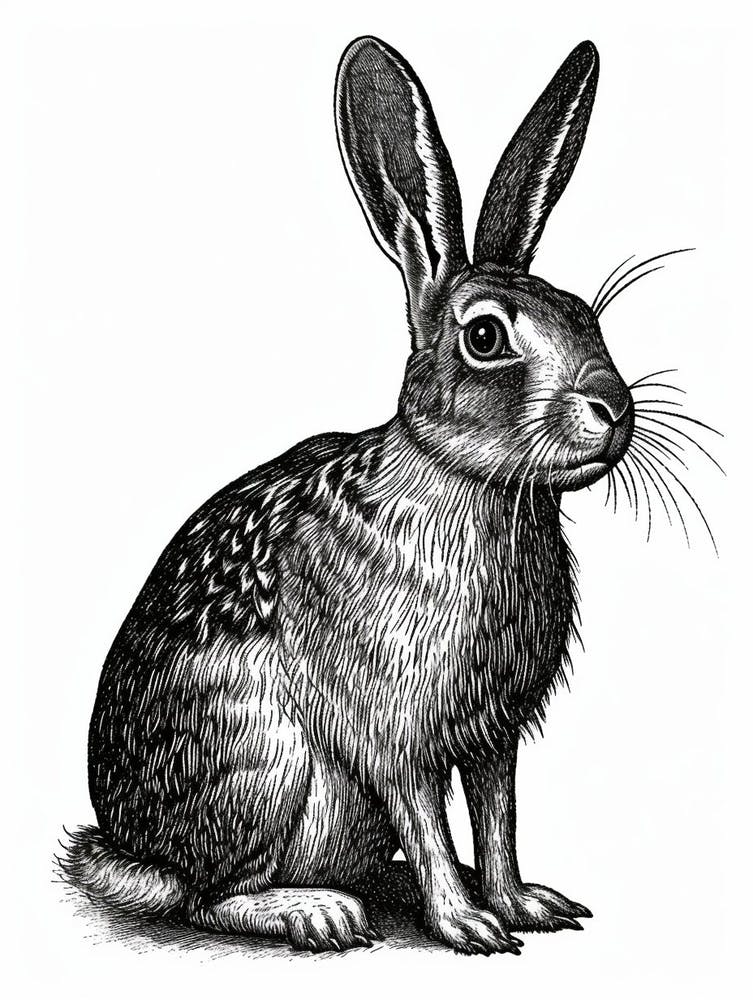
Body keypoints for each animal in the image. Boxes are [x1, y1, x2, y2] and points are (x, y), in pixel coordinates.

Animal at [63, 36, 635, 955]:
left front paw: (522, 904)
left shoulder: (494, 737)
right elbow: (428, 821)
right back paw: (315, 912)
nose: (613, 409)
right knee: (202, 896)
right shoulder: (393, 734)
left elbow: (498, 818)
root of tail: (125, 846)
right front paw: (467, 926)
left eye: (584, 312)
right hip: (262, 765)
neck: (463, 478)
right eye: (485, 337)